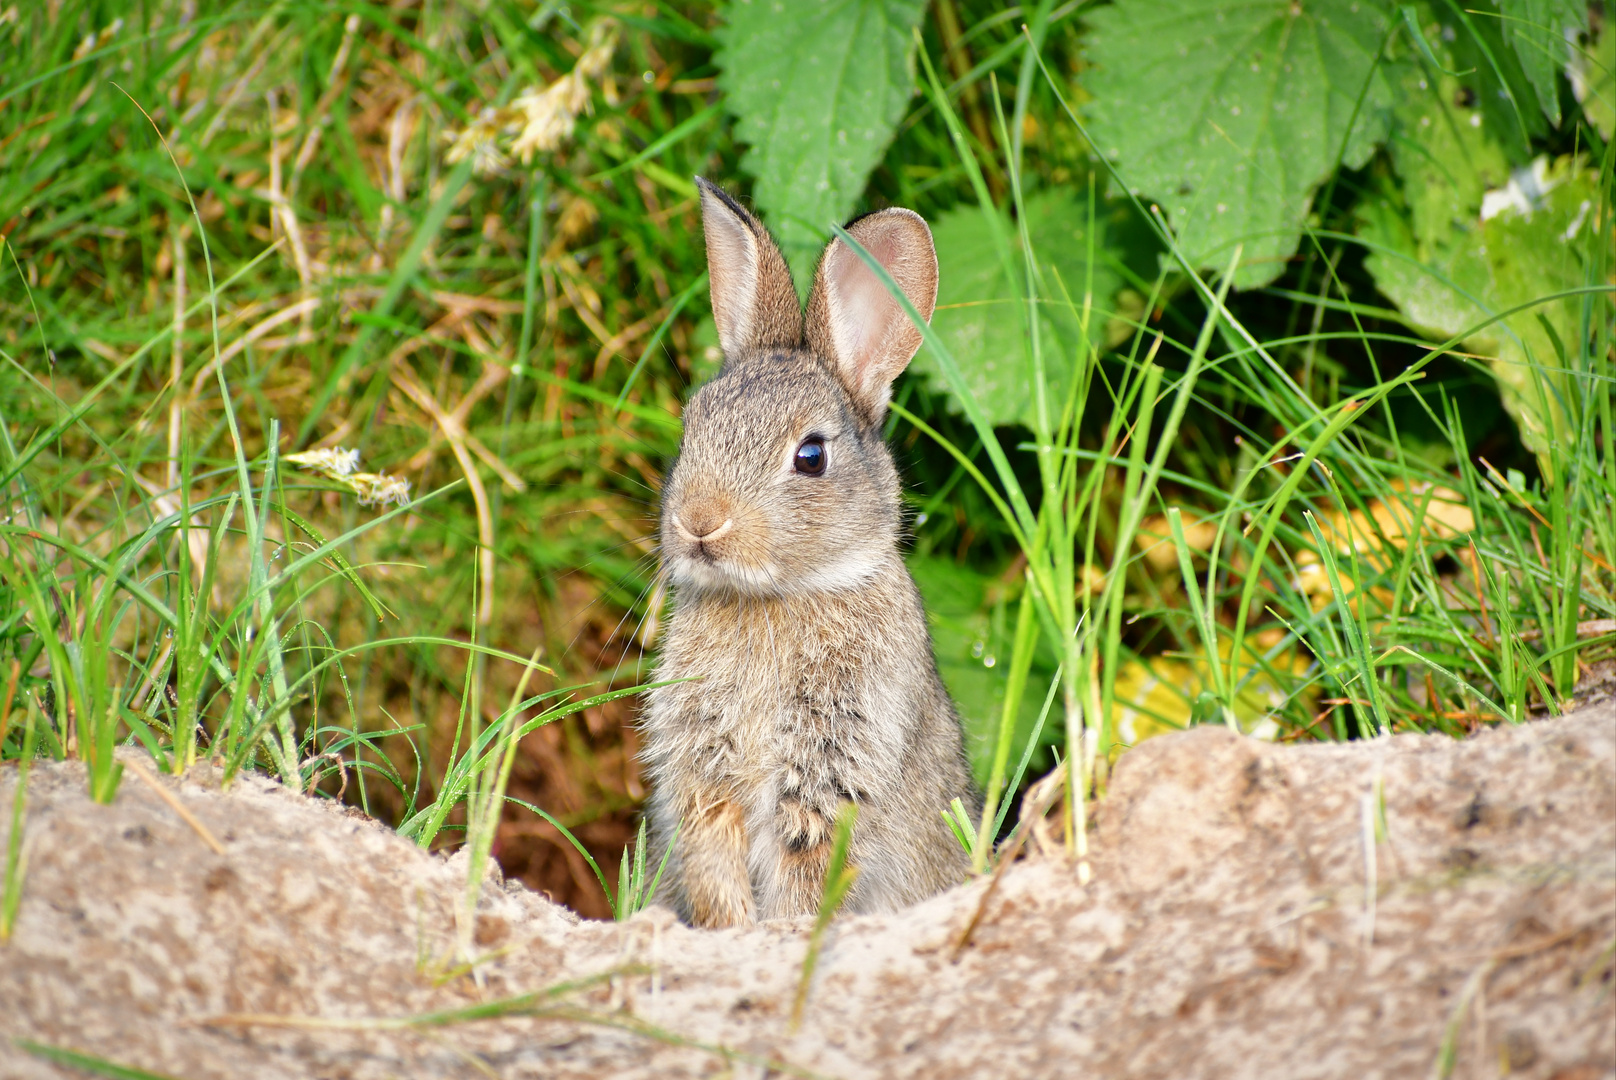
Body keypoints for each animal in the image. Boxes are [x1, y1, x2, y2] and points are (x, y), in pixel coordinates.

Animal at [636, 179, 976, 931]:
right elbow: (712, 857)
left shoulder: (836, 770)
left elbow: (807, 876)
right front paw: (730, 931)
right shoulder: (704, 775)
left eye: (811, 456)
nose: (700, 524)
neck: (782, 596)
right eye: (690, 428)